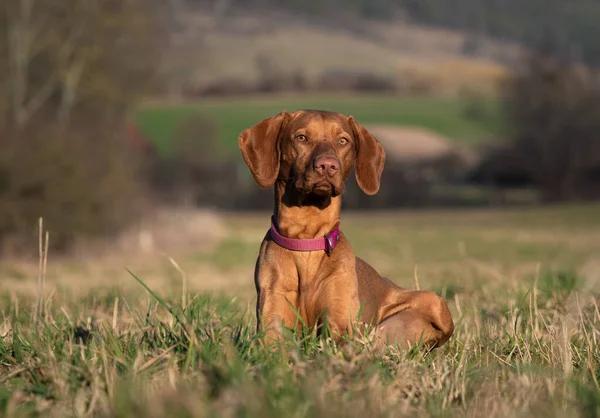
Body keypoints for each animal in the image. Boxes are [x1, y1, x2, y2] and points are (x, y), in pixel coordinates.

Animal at [239, 108, 454, 350]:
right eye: (301, 137)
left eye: (343, 140)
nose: (327, 165)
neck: (307, 241)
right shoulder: (271, 326)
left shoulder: (340, 327)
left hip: (434, 301)